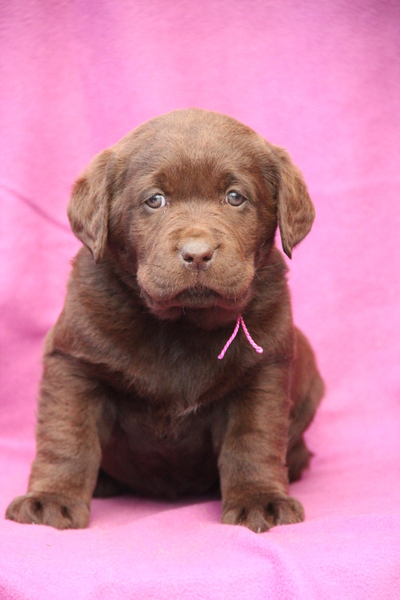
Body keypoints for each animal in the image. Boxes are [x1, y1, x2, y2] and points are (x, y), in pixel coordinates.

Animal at [6, 109, 324, 533]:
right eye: (154, 200)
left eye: (234, 197)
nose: (197, 254)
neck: (182, 324)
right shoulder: (74, 363)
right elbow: (66, 436)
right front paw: (51, 499)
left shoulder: (264, 371)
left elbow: (253, 440)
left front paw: (261, 499)